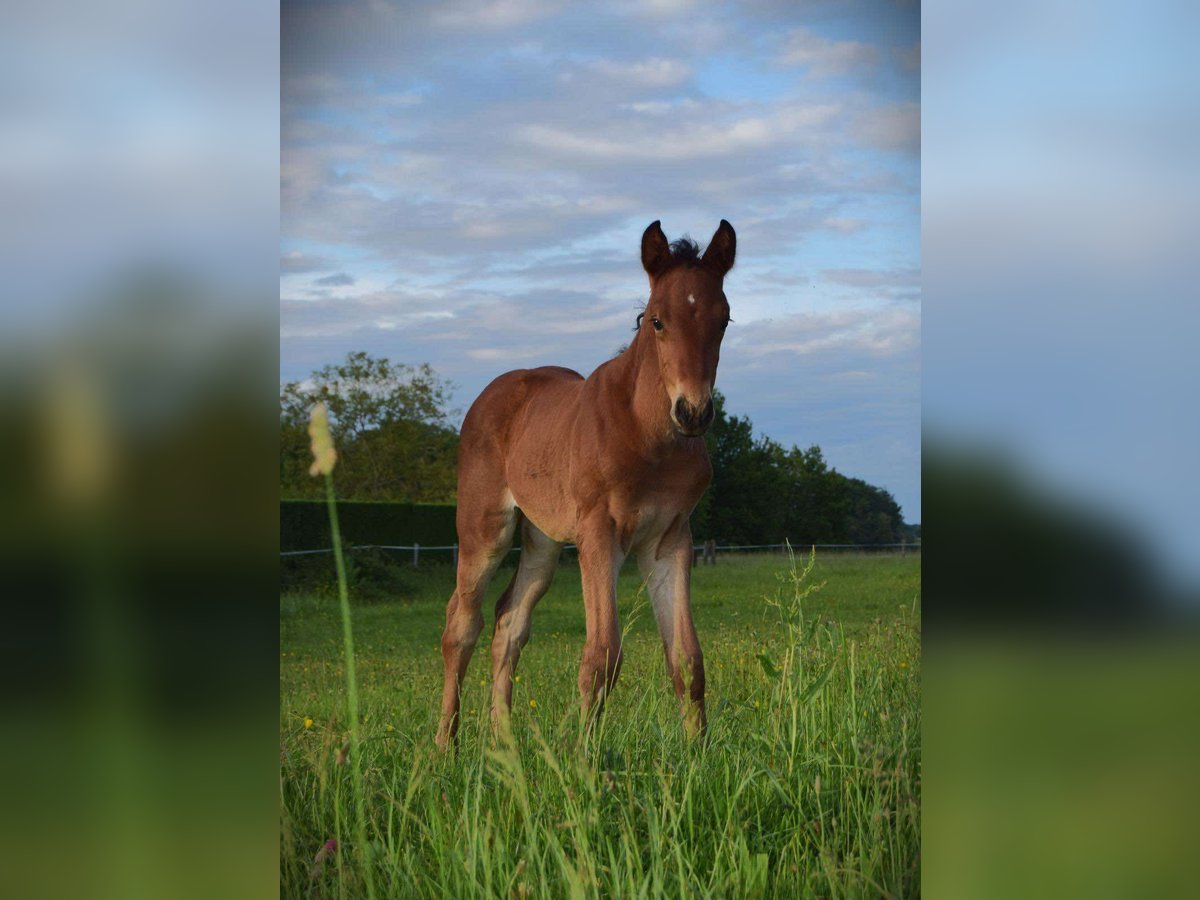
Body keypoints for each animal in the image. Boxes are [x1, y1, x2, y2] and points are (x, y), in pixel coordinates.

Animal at [432, 217, 729, 748]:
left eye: (724, 320)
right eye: (656, 320)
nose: (693, 412)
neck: (649, 438)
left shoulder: (670, 541)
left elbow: (688, 658)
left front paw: (699, 753)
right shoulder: (599, 533)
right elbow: (602, 655)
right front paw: (584, 757)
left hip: (543, 540)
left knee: (509, 622)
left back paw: (505, 745)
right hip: (485, 529)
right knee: (461, 626)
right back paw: (445, 745)